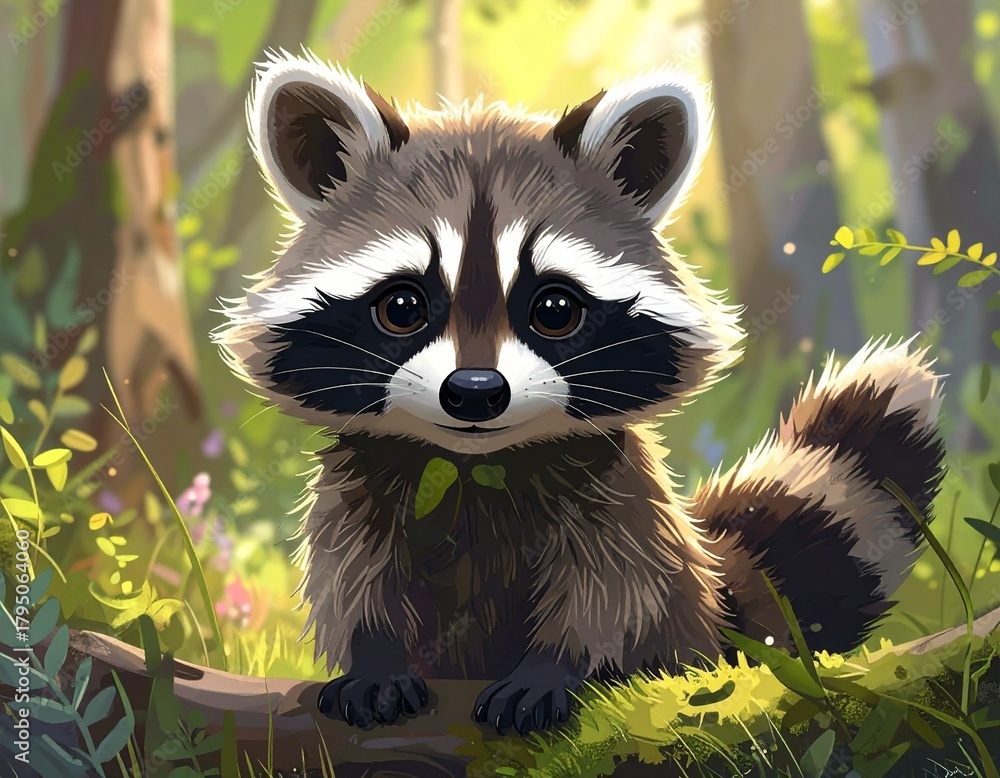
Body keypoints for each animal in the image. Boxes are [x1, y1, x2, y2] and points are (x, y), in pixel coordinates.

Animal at [215, 50, 945, 735]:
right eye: (402, 306)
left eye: (555, 308)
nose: (474, 392)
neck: (475, 465)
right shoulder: (358, 481)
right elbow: (353, 573)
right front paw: (375, 657)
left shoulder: (615, 487)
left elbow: (613, 588)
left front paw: (560, 667)